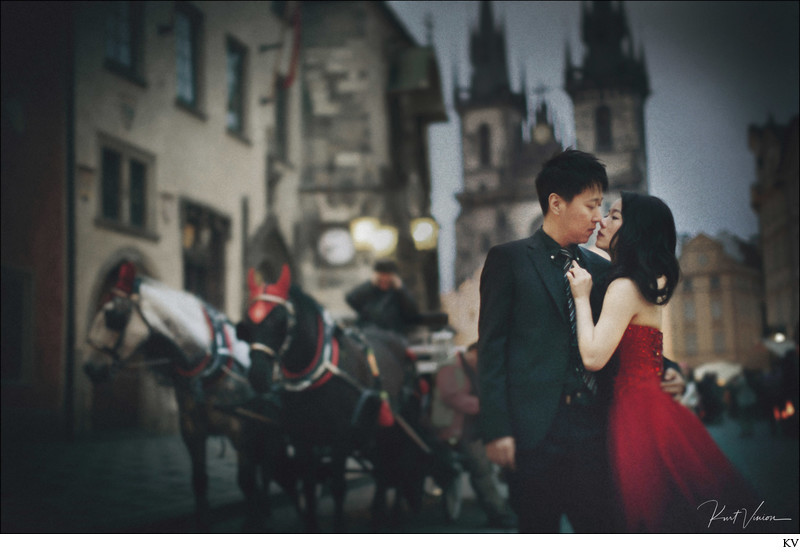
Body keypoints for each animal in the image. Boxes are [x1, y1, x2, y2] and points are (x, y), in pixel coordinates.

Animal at [241, 266, 434, 532]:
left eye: (280, 320)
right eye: (247, 323)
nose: (257, 375)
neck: (316, 373)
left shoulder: (340, 438)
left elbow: (339, 487)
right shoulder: (301, 437)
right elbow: (308, 484)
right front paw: (311, 524)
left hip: (400, 421)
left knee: (397, 462)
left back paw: (391, 515)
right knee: (383, 467)